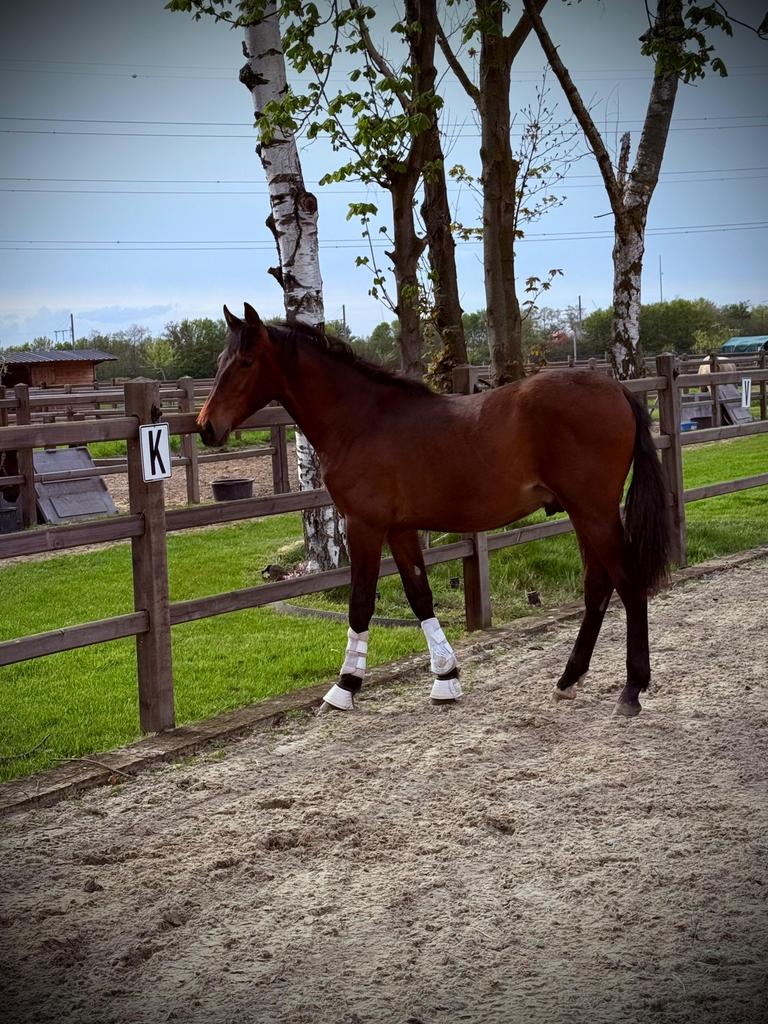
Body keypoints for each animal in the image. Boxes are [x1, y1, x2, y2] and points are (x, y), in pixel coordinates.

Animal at [198, 303, 671, 718]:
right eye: (220, 360)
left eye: (245, 362)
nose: (206, 427)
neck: (361, 420)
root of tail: (616, 388)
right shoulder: (400, 529)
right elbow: (420, 595)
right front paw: (446, 678)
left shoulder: (364, 525)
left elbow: (360, 602)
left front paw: (344, 687)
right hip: (582, 514)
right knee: (597, 587)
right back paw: (568, 680)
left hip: (594, 512)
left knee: (627, 584)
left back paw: (631, 689)